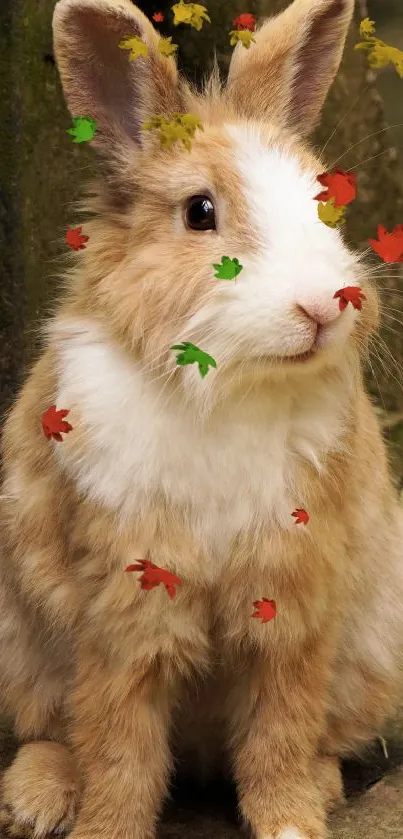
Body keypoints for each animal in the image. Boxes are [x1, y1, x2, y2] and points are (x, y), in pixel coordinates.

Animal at [0, 0, 403, 836]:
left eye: (322, 202)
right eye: (200, 212)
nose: (322, 307)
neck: (230, 385)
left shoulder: (292, 596)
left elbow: (279, 727)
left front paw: (290, 822)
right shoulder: (124, 601)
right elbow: (118, 741)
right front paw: (105, 828)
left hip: (373, 649)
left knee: (316, 736)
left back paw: (321, 786)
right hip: (22, 647)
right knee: (54, 730)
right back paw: (36, 798)